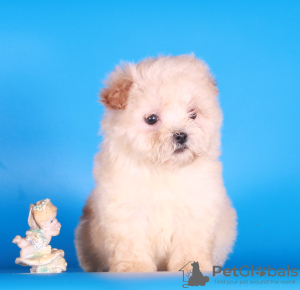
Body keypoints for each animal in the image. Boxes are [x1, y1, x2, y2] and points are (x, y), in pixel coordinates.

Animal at [75, 54, 237, 272]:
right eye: (151, 119)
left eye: (193, 115)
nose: (181, 135)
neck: (162, 169)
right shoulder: (124, 210)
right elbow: (130, 243)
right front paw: (134, 267)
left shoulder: (196, 209)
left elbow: (191, 241)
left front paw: (192, 264)